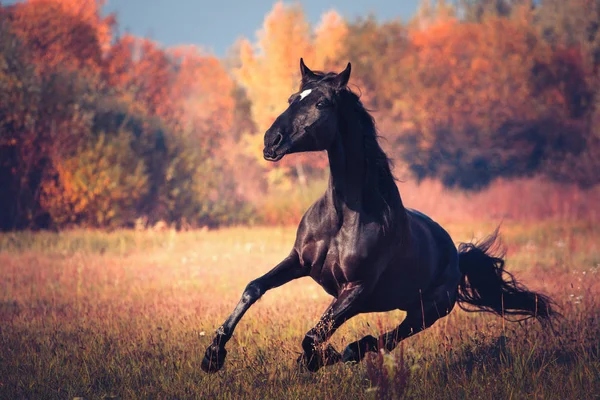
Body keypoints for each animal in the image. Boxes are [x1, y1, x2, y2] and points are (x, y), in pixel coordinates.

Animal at [203, 60, 556, 376]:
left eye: (321, 103)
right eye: (292, 99)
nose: (270, 141)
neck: (342, 218)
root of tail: (457, 254)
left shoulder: (357, 287)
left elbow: (314, 334)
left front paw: (316, 359)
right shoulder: (298, 262)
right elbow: (254, 288)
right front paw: (213, 356)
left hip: (427, 311)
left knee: (386, 338)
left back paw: (343, 353)